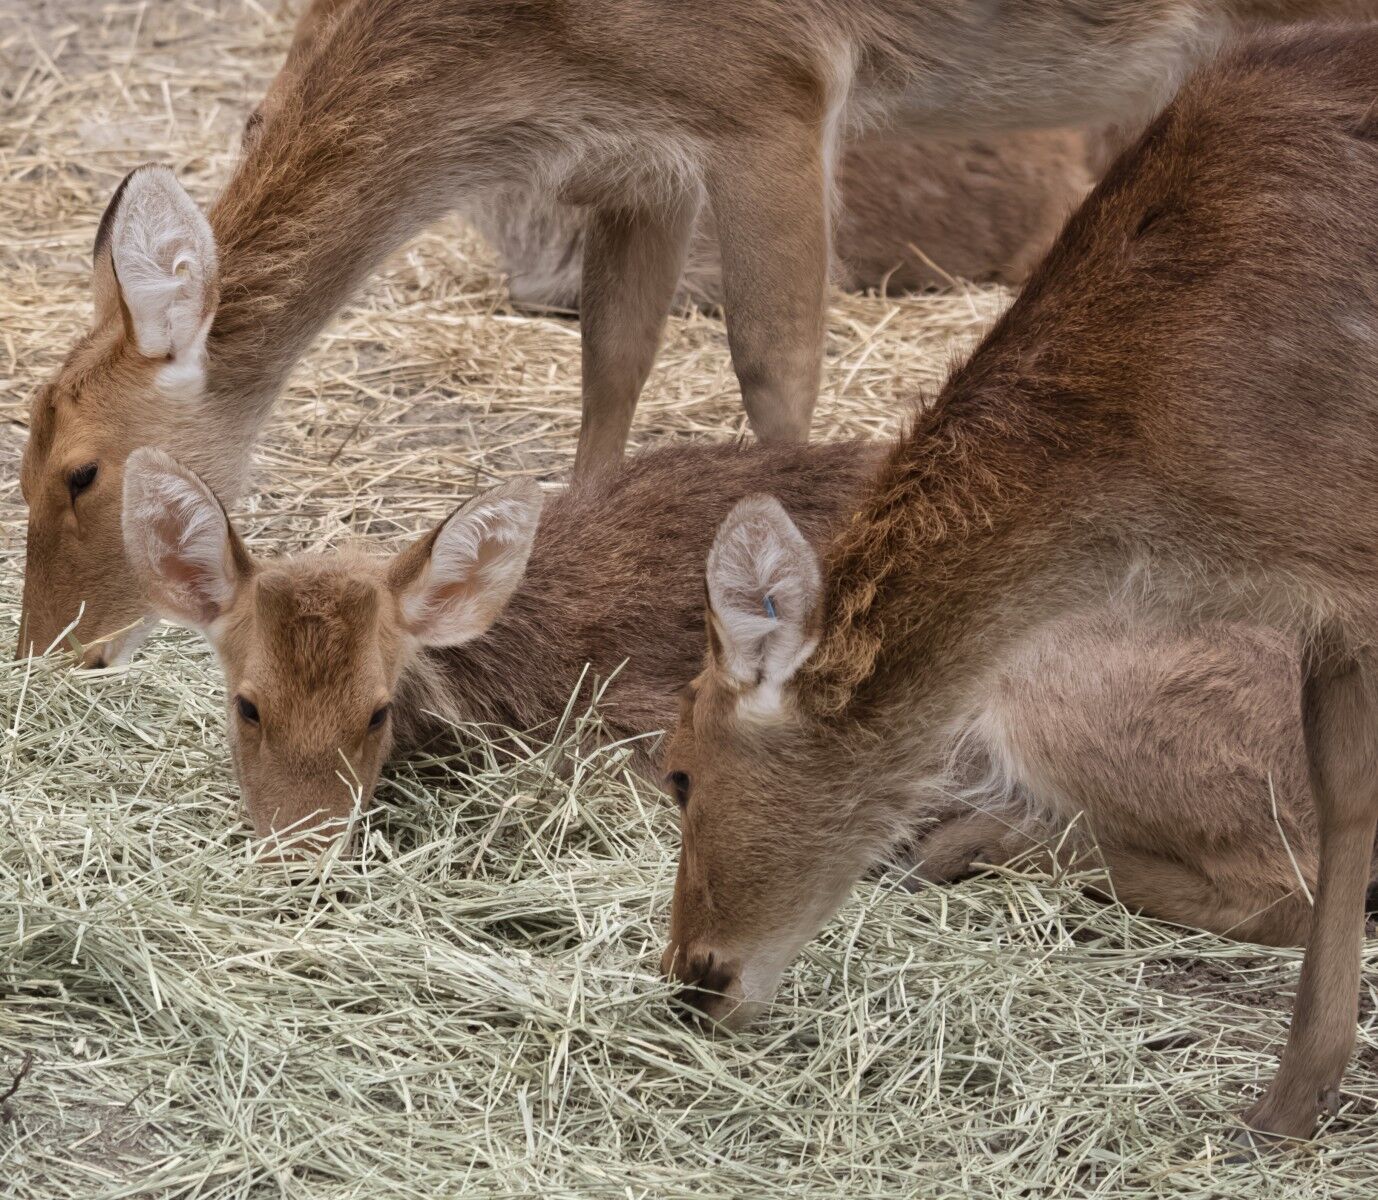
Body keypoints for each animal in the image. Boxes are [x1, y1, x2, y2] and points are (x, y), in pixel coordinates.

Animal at [16, 0, 1372, 666]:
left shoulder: (774, 88)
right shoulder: (640, 143)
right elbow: (612, 360)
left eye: (80, 471)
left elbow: (776, 365)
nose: (44, 652)